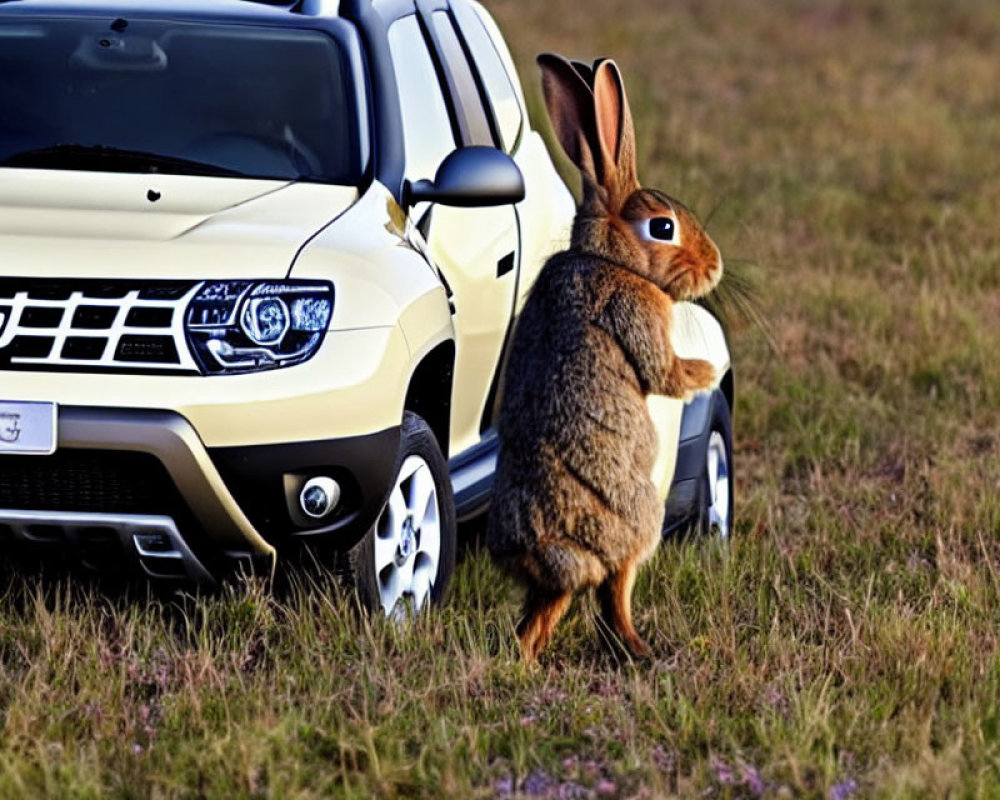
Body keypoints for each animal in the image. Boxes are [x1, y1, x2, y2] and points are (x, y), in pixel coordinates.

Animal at [488, 54, 724, 664]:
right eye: (662, 227)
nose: (713, 266)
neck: (608, 258)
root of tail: (546, 554)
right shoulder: (634, 314)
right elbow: (664, 372)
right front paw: (707, 373)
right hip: (639, 521)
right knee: (613, 592)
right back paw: (642, 650)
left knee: (543, 616)